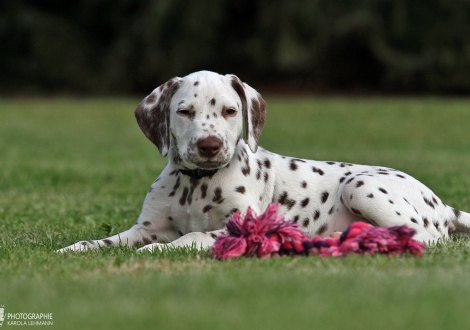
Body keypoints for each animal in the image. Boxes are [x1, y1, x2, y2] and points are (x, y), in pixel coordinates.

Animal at [57, 70, 470, 253]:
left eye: (230, 110)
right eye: (184, 111)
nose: (209, 145)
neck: (196, 183)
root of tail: (443, 206)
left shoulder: (240, 229)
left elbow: (191, 236)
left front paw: (156, 251)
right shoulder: (145, 227)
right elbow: (104, 241)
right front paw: (72, 250)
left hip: (361, 185)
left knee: (424, 237)